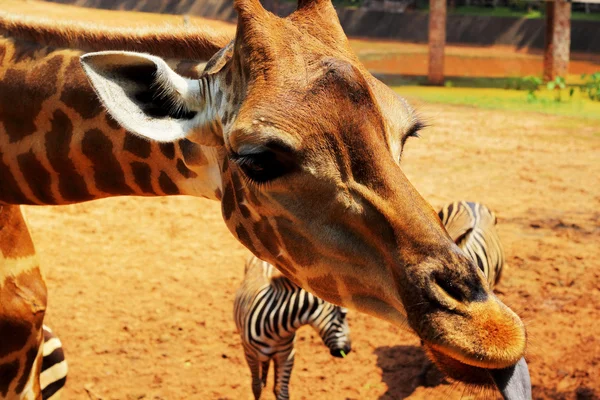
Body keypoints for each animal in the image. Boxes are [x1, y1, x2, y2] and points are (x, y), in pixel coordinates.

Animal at [232, 256, 350, 400]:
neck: (276, 329)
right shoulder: (250, 355)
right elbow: (256, 387)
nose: (348, 349)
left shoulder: (287, 356)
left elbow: (282, 392)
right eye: (343, 315)